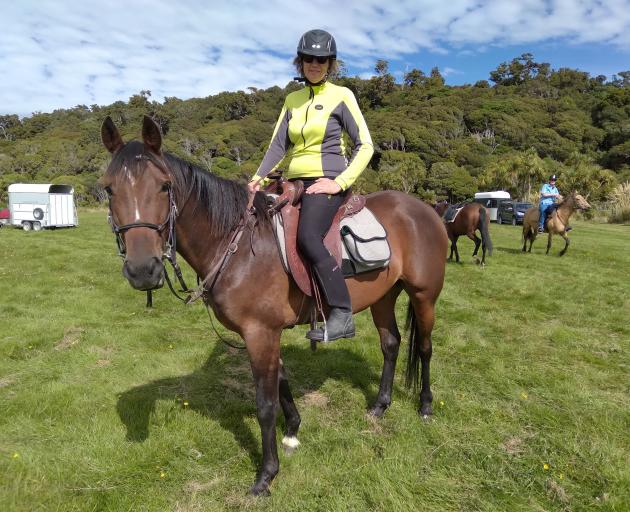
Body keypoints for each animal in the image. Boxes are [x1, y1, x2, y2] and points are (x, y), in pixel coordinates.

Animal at [101, 117, 450, 496]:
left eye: (165, 186)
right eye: (108, 190)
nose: (142, 270)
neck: (238, 245)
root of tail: (424, 209)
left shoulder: (260, 333)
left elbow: (265, 405)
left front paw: (266, 474)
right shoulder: (266, 333)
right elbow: (282, 380)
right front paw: (293, 430)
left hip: (424, 296)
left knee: (426, 348)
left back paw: (426, 405)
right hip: (383, 297)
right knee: (390, 344)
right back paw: (380, 406)